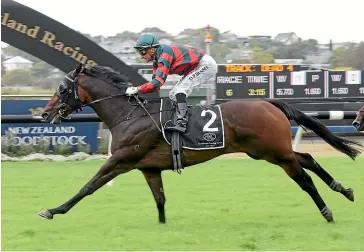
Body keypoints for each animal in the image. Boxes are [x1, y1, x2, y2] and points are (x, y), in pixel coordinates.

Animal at [38, 64, 362, 223]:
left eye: (62, 88)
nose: (45, 113)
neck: (128, 115)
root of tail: (269, 102)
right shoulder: (149, 168)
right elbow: (160, 199)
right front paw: (162, 227)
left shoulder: (120, 160)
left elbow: (88, 187)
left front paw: (52, 210)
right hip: (267, 151)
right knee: (307, 157)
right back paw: (343, 190)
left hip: (274, 152)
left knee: (304, 178)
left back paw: (327, 212)